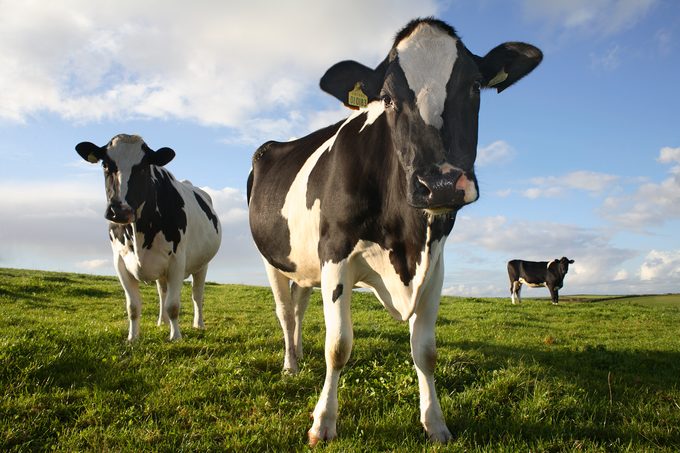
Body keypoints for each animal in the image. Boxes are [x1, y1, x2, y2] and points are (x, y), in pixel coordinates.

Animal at [76, 134, 222, 341]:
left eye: (144, 167)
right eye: (105, 165)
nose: (119, 210)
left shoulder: (177, 260)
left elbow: (173, 305)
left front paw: (175, 337)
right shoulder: (120, 262)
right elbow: (133, 306)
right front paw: (132, 337)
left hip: (202, 264)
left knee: (197, 295)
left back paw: (198, 324)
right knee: (162, 292)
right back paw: (162, 322)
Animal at [247, 18, 542, 444]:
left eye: (474, 85)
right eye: (386, 99)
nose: (440, 183)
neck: (406, 240)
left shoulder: (435, 263)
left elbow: (426, 351)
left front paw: (435, 422)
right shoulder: (335, 253)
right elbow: (338, 345)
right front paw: (323, 422)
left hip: (304, 264)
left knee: (300, 308)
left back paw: (298, 356)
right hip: (273, 259)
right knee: (286, 313)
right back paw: (290, 364)